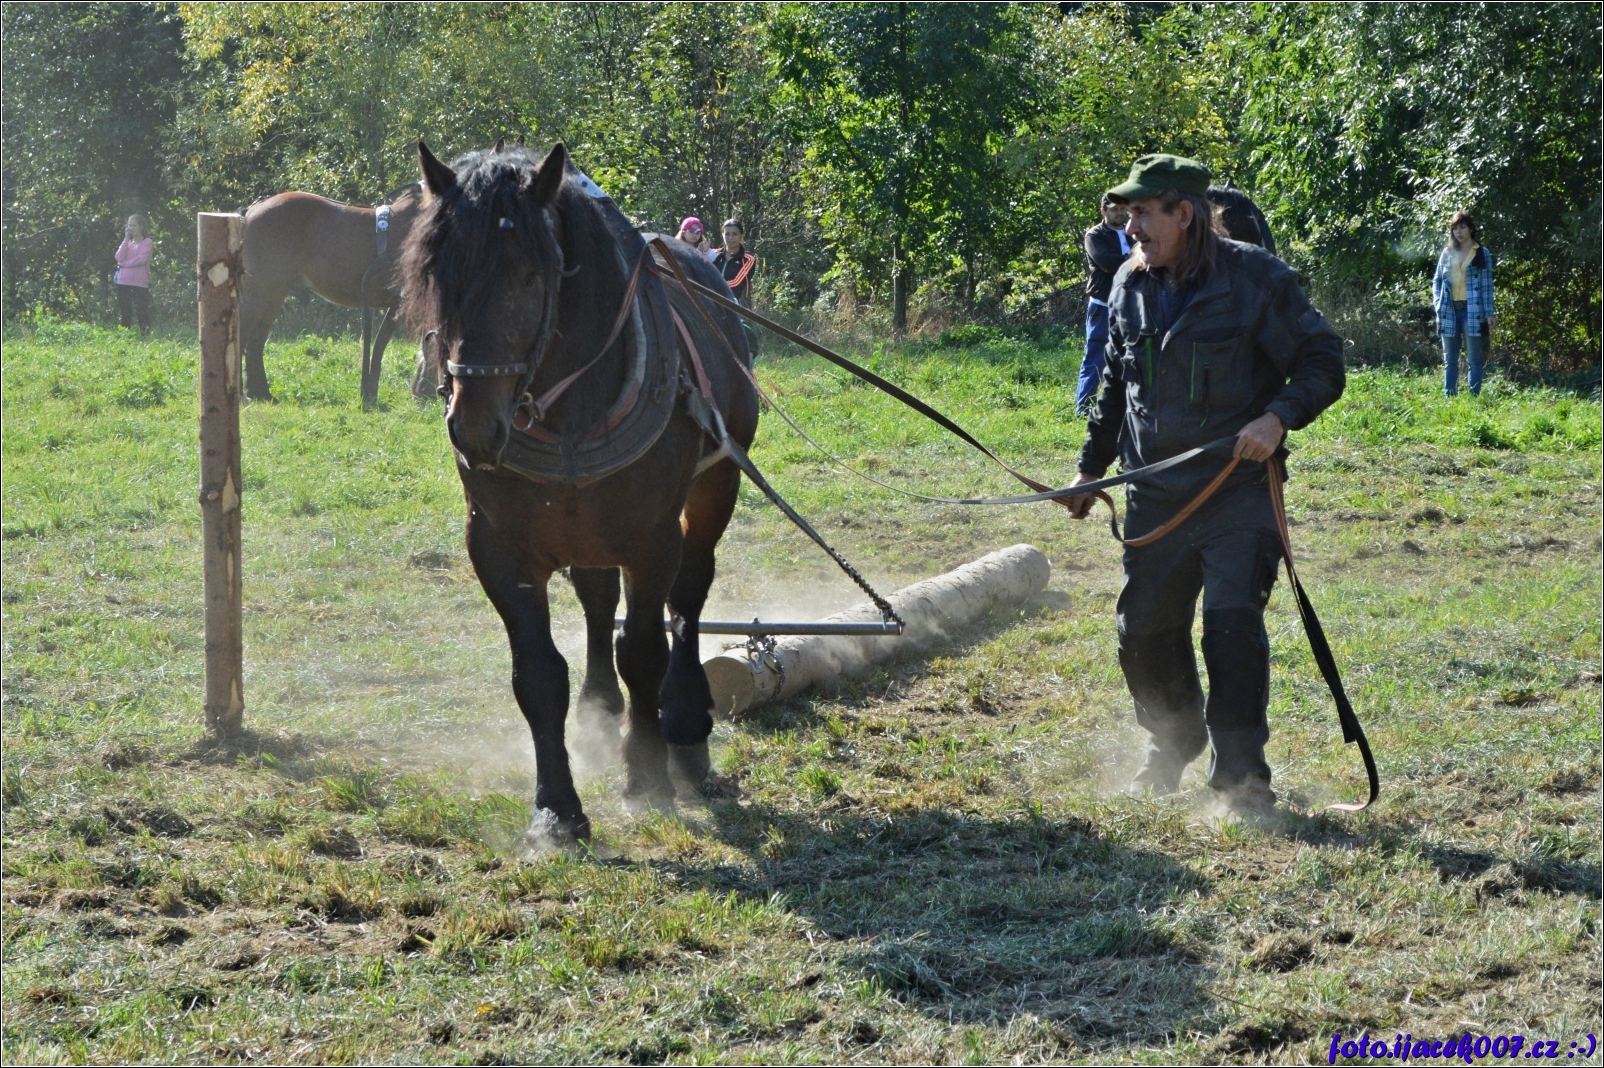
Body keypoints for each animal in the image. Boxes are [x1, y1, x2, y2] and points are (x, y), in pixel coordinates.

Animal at [398, 139, 759, 845]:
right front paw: (557, 808)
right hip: (586, 525)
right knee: (598, 600)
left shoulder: (651, 539)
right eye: (438, 276)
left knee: (690, 594)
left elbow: (643, 650)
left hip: (714, 487)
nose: (473, 426)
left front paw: (646, 775)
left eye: (528, 277)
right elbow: (539, 676)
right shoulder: (499, 547)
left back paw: (684, 725)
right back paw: (600, 709)